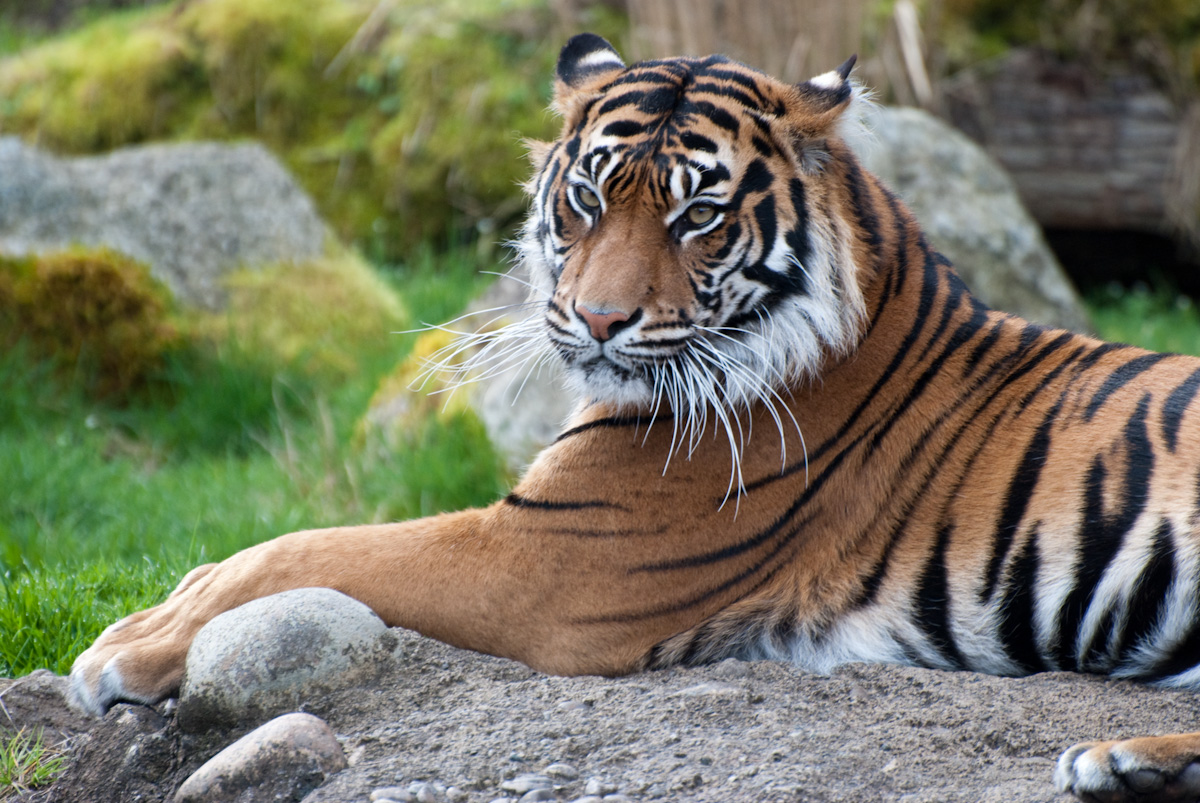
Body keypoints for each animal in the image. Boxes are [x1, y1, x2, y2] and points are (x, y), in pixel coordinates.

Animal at [69, 33, 1200, 802]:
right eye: (584, 197)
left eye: (697, 215)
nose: (600, 320)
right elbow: (273, 548)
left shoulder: (547, 556)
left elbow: (311, 545)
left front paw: (123, 647)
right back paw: (1126, 761)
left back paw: (1115, 756)